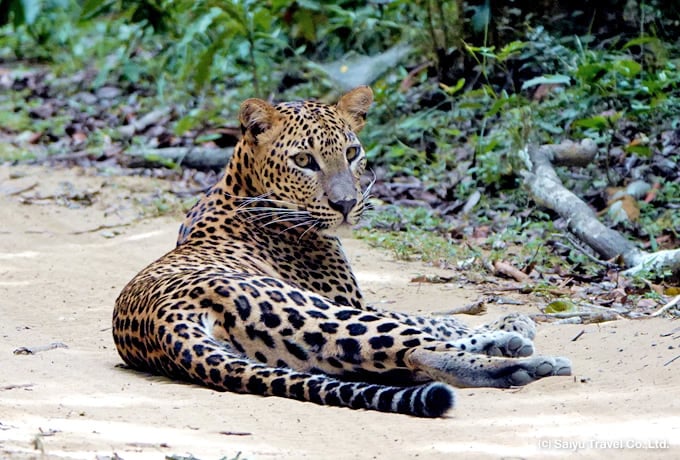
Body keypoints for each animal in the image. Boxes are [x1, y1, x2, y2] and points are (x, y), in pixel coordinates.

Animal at [114, 86, 572, 416]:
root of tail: (164, 326)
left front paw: (507, 323)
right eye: (304, 160)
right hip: (315, 312)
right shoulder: (348, 300)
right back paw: (526, 362)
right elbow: (429, 319)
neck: (240, 187)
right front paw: (512, 322)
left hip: (310, 352)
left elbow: (433, 318)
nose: (346, 203)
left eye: (352, 153)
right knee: (415, 347)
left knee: (404, 358)